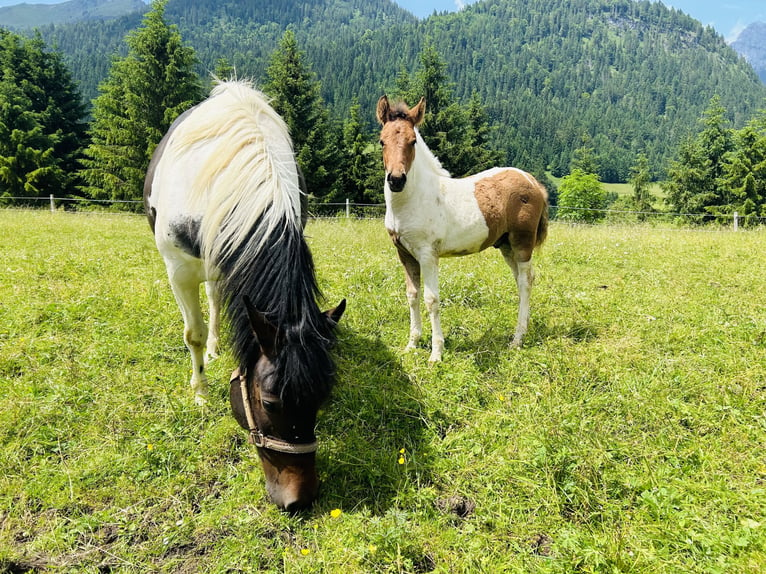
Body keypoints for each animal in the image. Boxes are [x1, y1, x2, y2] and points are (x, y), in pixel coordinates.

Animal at [143, 79, 344, 510]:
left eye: (322, 399)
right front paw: (200, 392)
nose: (300, 499)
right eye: (269, 403)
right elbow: (193, 334)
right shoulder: (178, 268)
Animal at [376, 97, 544, 362]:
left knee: (526, 281)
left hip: (522, 243)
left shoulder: (427, 254)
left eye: (413, 141)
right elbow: (412, 295)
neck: (413, 200)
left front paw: (436, 353)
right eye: (382, 141)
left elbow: (431, 299)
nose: (396, 179)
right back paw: (521, 332)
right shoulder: (404, 253)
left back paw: (517, 340)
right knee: (521, 281)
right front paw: (412, 344)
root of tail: (533, 181)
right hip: (506, 245)